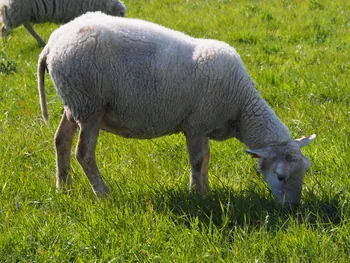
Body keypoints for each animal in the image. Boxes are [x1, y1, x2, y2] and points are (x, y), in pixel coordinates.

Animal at [37, 11, 316, 206]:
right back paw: (103, 193)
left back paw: (64, 187)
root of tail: (52, 43)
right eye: (280, 176)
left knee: (61, 140)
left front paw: (205, 190)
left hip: (74, 102)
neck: (241, 106)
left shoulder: (203, 124)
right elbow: (197, 160)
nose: (293, 208)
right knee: (84, 153)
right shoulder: (196, 123)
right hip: (89, 105)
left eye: (305, 171)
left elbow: (205, 159)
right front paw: (197, 193)